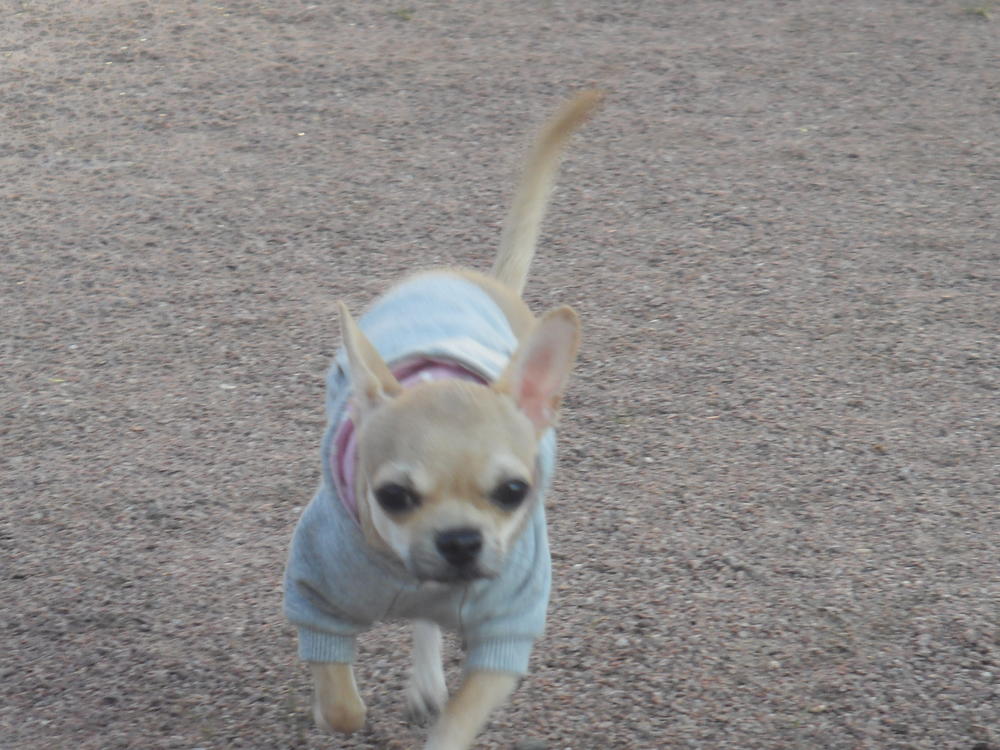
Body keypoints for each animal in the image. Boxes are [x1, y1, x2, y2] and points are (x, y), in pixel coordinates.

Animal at [283, 90, 601, 750]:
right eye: (393, 496)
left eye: (514, 491)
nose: (459, 541)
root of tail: (472, 277)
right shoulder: (314, 596)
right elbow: (343, 702)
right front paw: (330, 710)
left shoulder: (507, 634)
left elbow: (458, 723)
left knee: (427, 626)